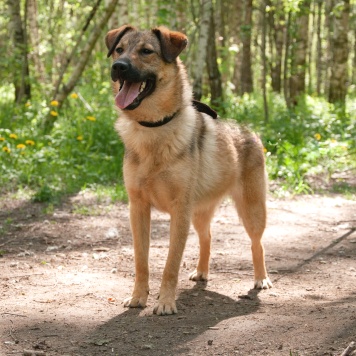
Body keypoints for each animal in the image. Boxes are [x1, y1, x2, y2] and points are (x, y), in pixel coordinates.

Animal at [105, 25, 272, 314]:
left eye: (146, 51)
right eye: (119, 49)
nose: (118, 66)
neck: (155, 128)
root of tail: (249, 131)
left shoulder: (179, 210)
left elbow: (171, 264)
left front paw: (165, 302)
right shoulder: (138, 209)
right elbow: (141, 261)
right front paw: (139, 296)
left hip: (251, 211)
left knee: (257, 244)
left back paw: (261, 278)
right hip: (199, 213)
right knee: (207, 237)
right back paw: (202, 271)